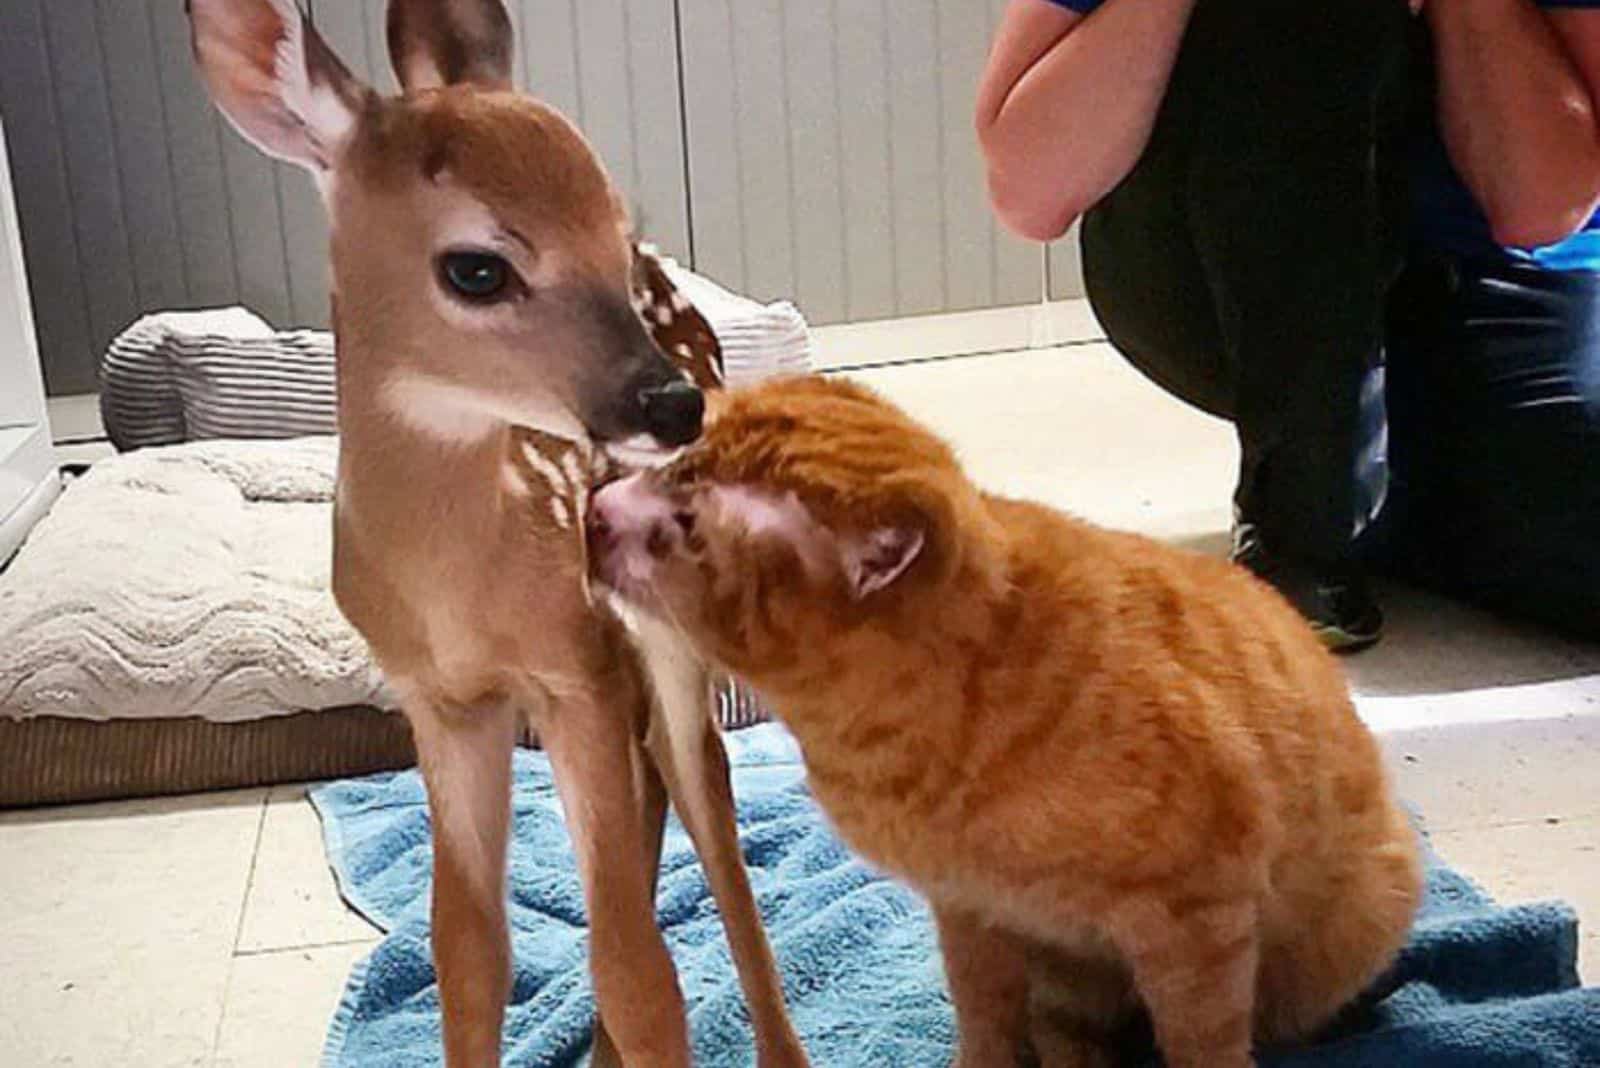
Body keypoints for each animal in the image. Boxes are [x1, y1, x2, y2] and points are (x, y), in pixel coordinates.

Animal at [582, 375, 1420, 1068]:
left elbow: (1202, 1043)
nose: (594, 511)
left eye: (687, 522)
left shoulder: (1197, 922)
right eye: (665, 467)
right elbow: (984, 1019)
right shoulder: (970, 911)